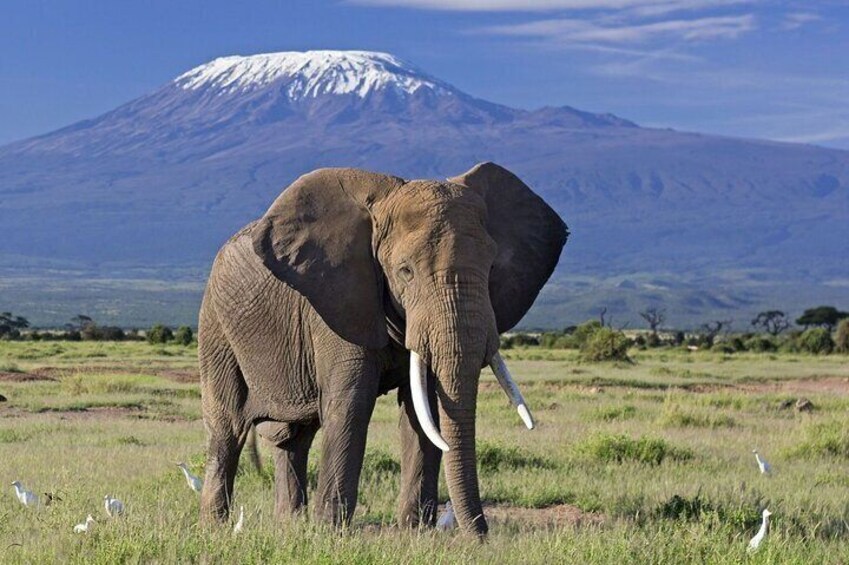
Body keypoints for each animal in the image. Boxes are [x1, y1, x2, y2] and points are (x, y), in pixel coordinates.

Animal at [197, 162, 568, 536]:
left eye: (492, 268)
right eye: (405, 271)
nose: (481, 537)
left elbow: (423, 409)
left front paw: (415, 533)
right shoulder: (338, 301)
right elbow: (351, 404)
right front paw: (331, 533)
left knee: (295, 436)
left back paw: (290, 525)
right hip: (215, 326)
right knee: (228, 427)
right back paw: (215, 527)